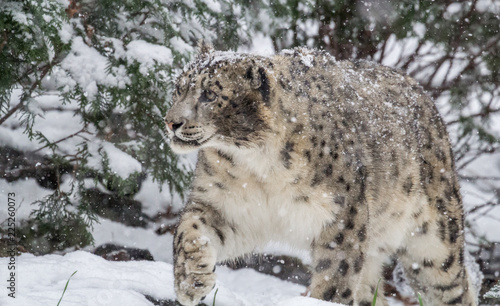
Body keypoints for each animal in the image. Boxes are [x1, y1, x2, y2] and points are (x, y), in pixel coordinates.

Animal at [164, 42, 476, 306]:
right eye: (178, 88)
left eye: (210, 94)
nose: (171, 122)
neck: (257, 168)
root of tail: (423, 95)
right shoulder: (225, 206)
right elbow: (189, 231)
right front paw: (191, 281)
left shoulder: (342, 217)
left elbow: (334, 277)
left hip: (435, 243)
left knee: (454, 286)